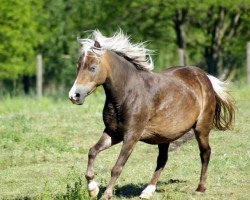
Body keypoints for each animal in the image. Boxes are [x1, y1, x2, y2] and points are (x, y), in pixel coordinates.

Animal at [68, 30, 234, 199]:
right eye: (78, 66)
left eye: (92, 68)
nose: (74, 96)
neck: (128, 93)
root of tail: (204, 77)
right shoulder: (113, 133)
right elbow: (92, 152)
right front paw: (92, 189)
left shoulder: (131, 136)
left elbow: (117, 168)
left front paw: (105, 195)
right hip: (164, 136)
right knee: (162, 160)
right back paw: (147, 191)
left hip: (201, 128)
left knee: (205, 153)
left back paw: (200, 188)